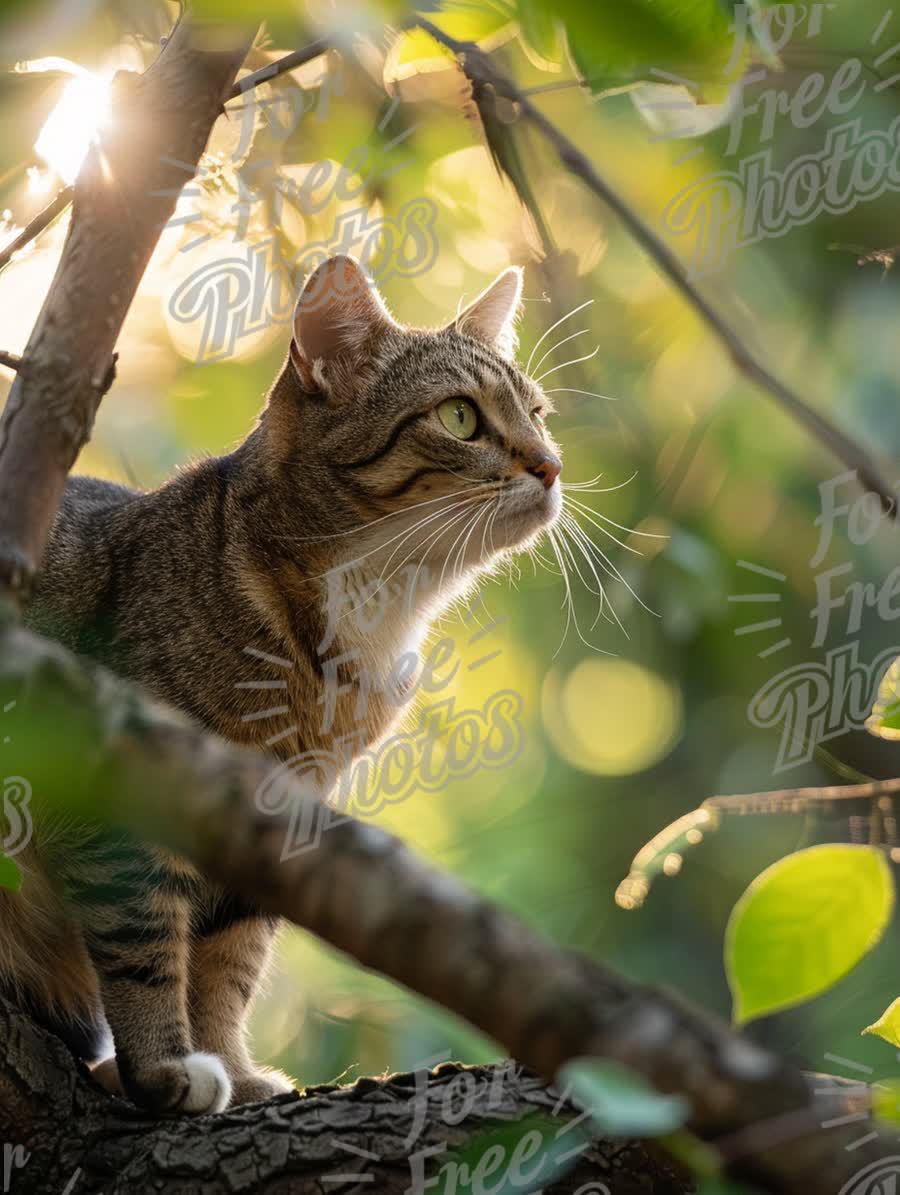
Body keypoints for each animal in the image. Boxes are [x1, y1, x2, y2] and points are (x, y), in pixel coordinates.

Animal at [0, 256, 561, 1113]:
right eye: (461, 417)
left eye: (537, 413)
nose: (553, 464)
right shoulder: (122, 794)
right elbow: (143, 939)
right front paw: (162, 1066)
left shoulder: (278, 814)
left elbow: (229, 960)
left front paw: (228, 1064)